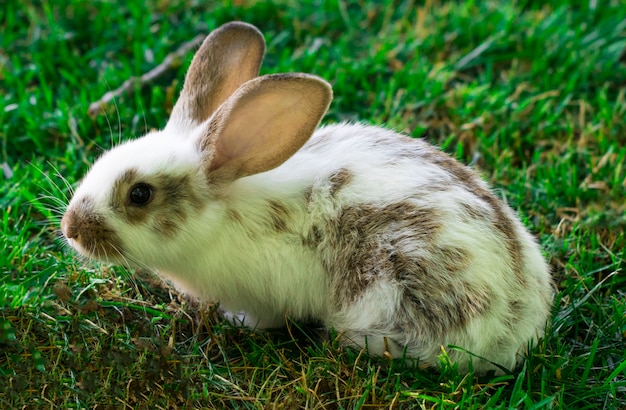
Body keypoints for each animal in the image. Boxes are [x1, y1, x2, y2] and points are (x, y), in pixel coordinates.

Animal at [59, 22, 552, 374]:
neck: (222, 216)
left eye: (140, 194)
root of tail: (520, 323)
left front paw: (235, 323)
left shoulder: (262, 297)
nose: (70, 229)